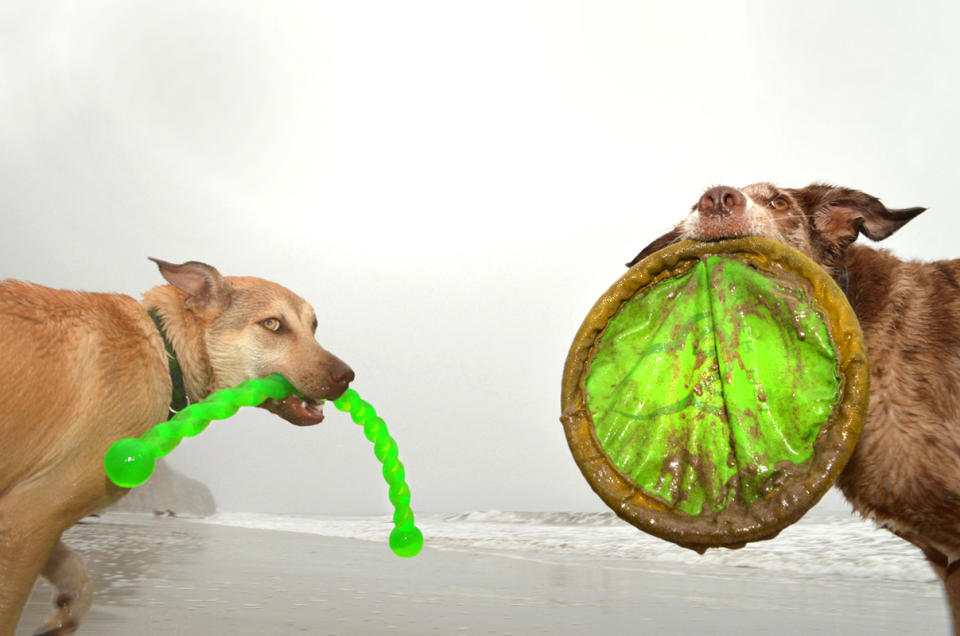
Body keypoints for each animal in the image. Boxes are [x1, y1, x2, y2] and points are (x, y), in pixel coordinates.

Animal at [0, 258, 352, 632]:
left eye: (313, 326)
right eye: (272, 324)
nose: (348, 376)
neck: (165, 351)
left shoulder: (32, 517)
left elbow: (79, 580)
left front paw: (61, 618)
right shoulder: (29, 516)